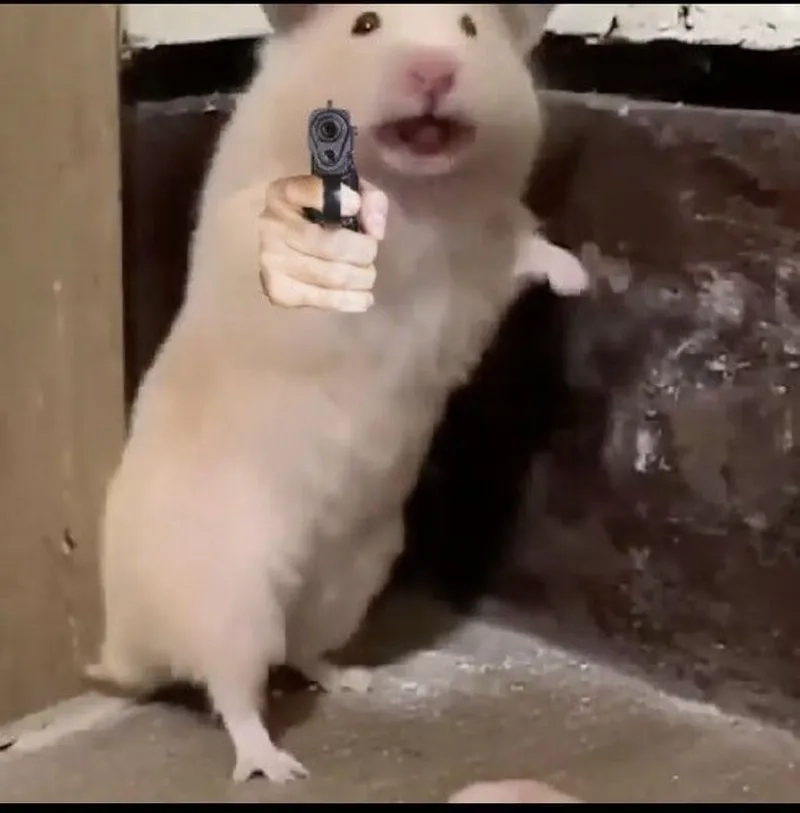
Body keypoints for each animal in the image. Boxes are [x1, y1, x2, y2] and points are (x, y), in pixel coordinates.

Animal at [88, 3, 582, 784]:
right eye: (366, 24)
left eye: (470, 28)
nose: (435, 72)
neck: (417, 193)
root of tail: (127, 644)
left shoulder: (491, 236)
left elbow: (529, 244)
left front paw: (581, 280)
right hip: (230, 595)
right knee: (234, 690)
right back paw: (275, 765)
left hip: (353, 576)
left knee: (297, 650)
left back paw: (352, 679)